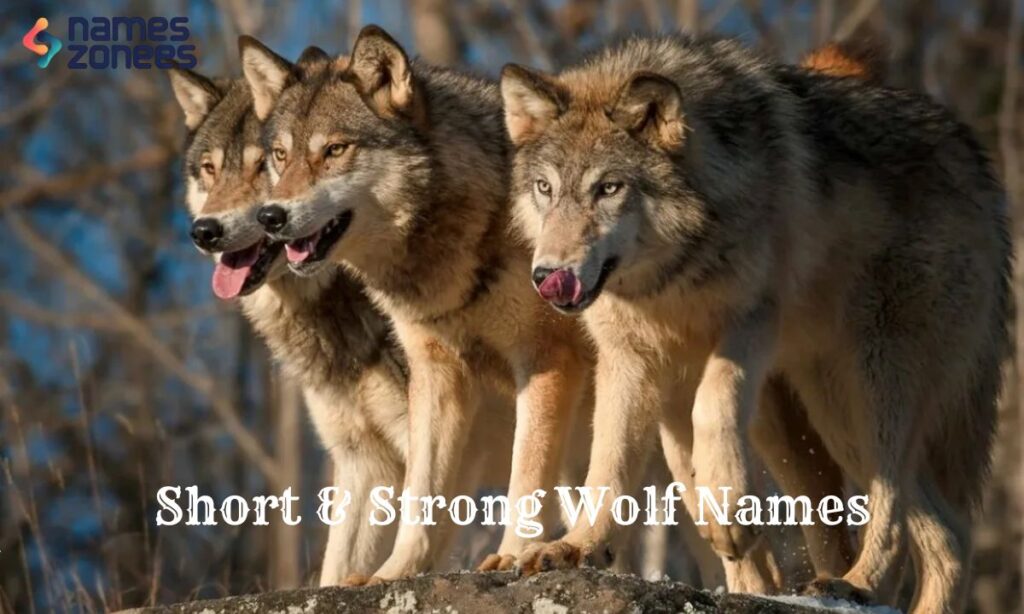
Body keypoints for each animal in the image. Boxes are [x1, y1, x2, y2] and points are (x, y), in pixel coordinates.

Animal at [500, 34, 1009, 614]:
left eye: (608, 188)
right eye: (545, 188)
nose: (548, 276)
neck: (671, 279)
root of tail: (975, 160)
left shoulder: (752, 322)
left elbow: (712, 407)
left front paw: (729, 517)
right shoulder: (628, 360)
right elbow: (609, 461)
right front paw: (580, 546)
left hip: (873, 386)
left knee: (896, 507)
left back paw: (858, 583)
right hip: (832, 413)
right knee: (948, 534)